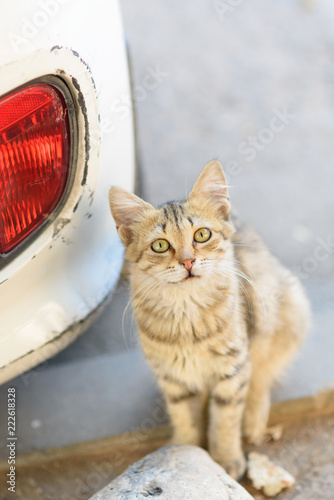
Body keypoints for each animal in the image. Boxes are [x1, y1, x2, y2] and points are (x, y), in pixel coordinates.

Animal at [109, 161, 310, 480]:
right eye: (160, 246)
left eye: (202, 235)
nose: (188, 262)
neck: (186, 316)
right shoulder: (174, 380)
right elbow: (186, 421)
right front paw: (182, 452)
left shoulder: (232, 370)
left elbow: (225, 421)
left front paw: (225, 459)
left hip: (282, 314)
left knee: (262, 377)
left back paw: (253, 421)